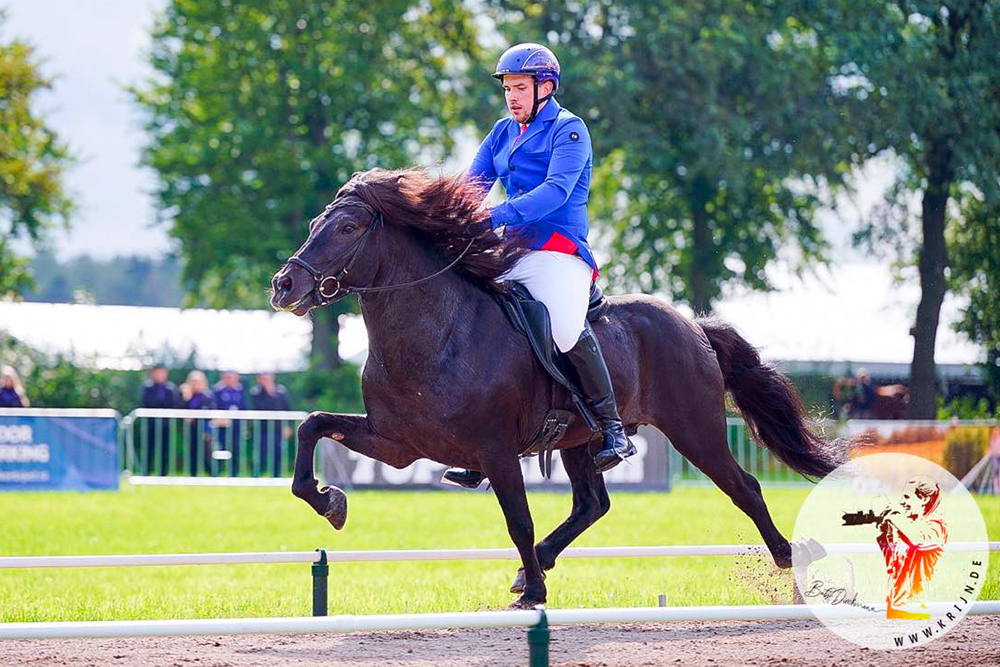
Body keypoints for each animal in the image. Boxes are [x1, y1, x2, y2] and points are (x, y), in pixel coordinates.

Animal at [270, 168, 848, 612]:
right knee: (592, 504)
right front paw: (329, 500)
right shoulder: (397, 444)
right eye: (314, 224)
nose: (283, 285)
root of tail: (693, 325)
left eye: (347, 227)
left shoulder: (496, 451)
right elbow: (312, 426)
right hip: (580, 441)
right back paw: (538, 565)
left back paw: (790, 559)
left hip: (694, 430)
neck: (436, 331)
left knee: (743, 487)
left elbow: (519, 521)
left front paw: (535, 594)